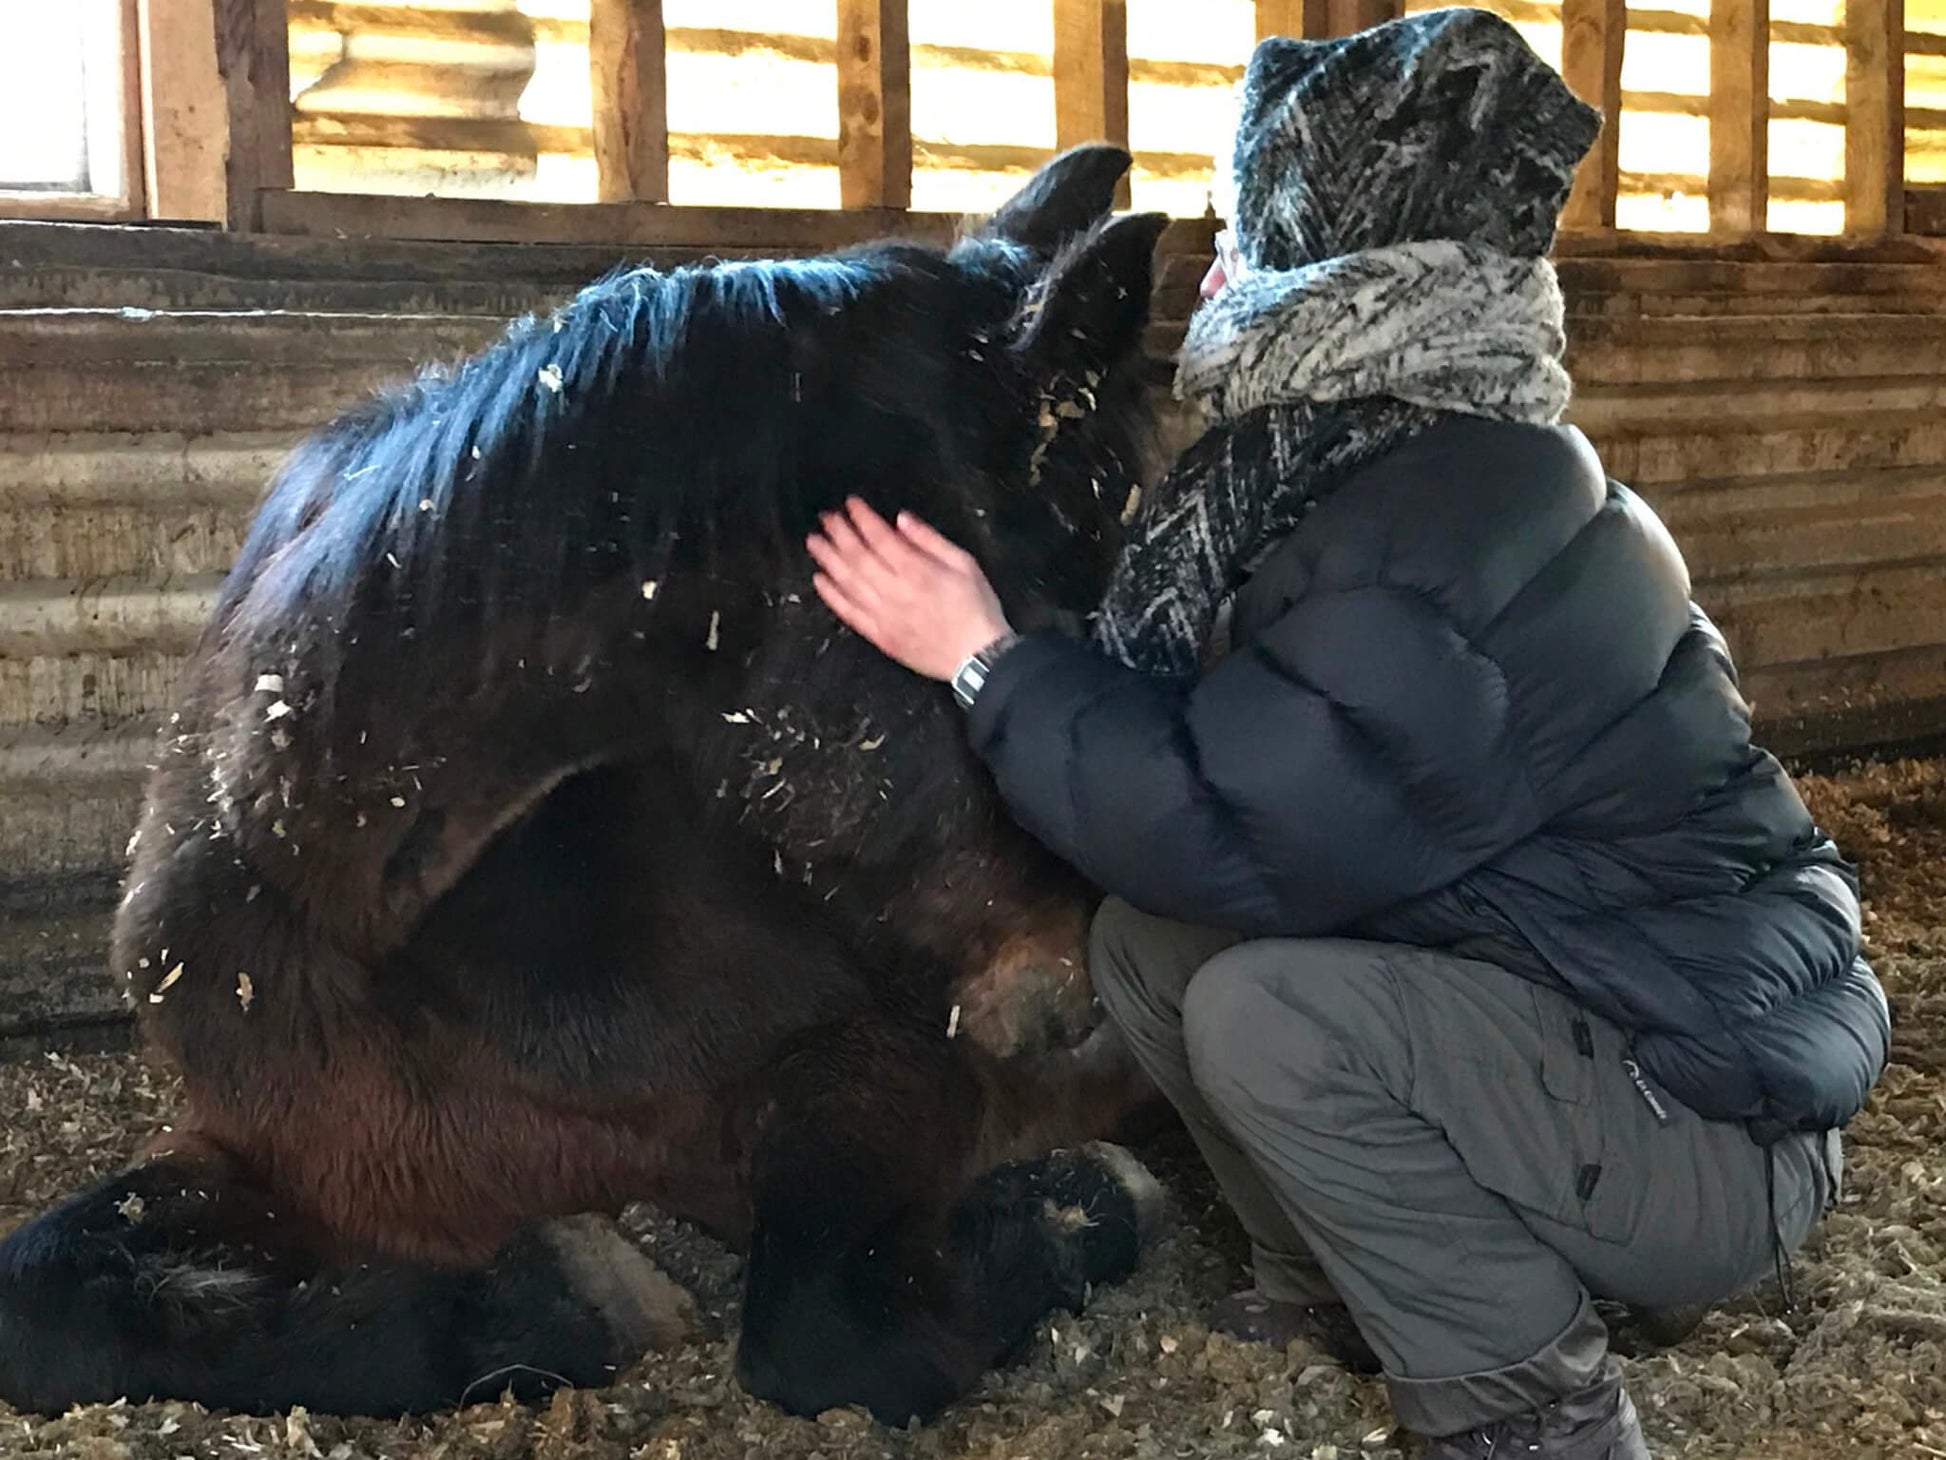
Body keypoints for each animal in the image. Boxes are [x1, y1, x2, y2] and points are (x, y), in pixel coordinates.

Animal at [0, 148, 1176, 1427]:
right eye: (1045, 597)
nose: (1083, 984)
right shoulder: (287, 1158)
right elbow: (45, 1295)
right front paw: (535, 1300)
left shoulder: (878, 1070)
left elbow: (826, 1329)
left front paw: (1089, 1191)